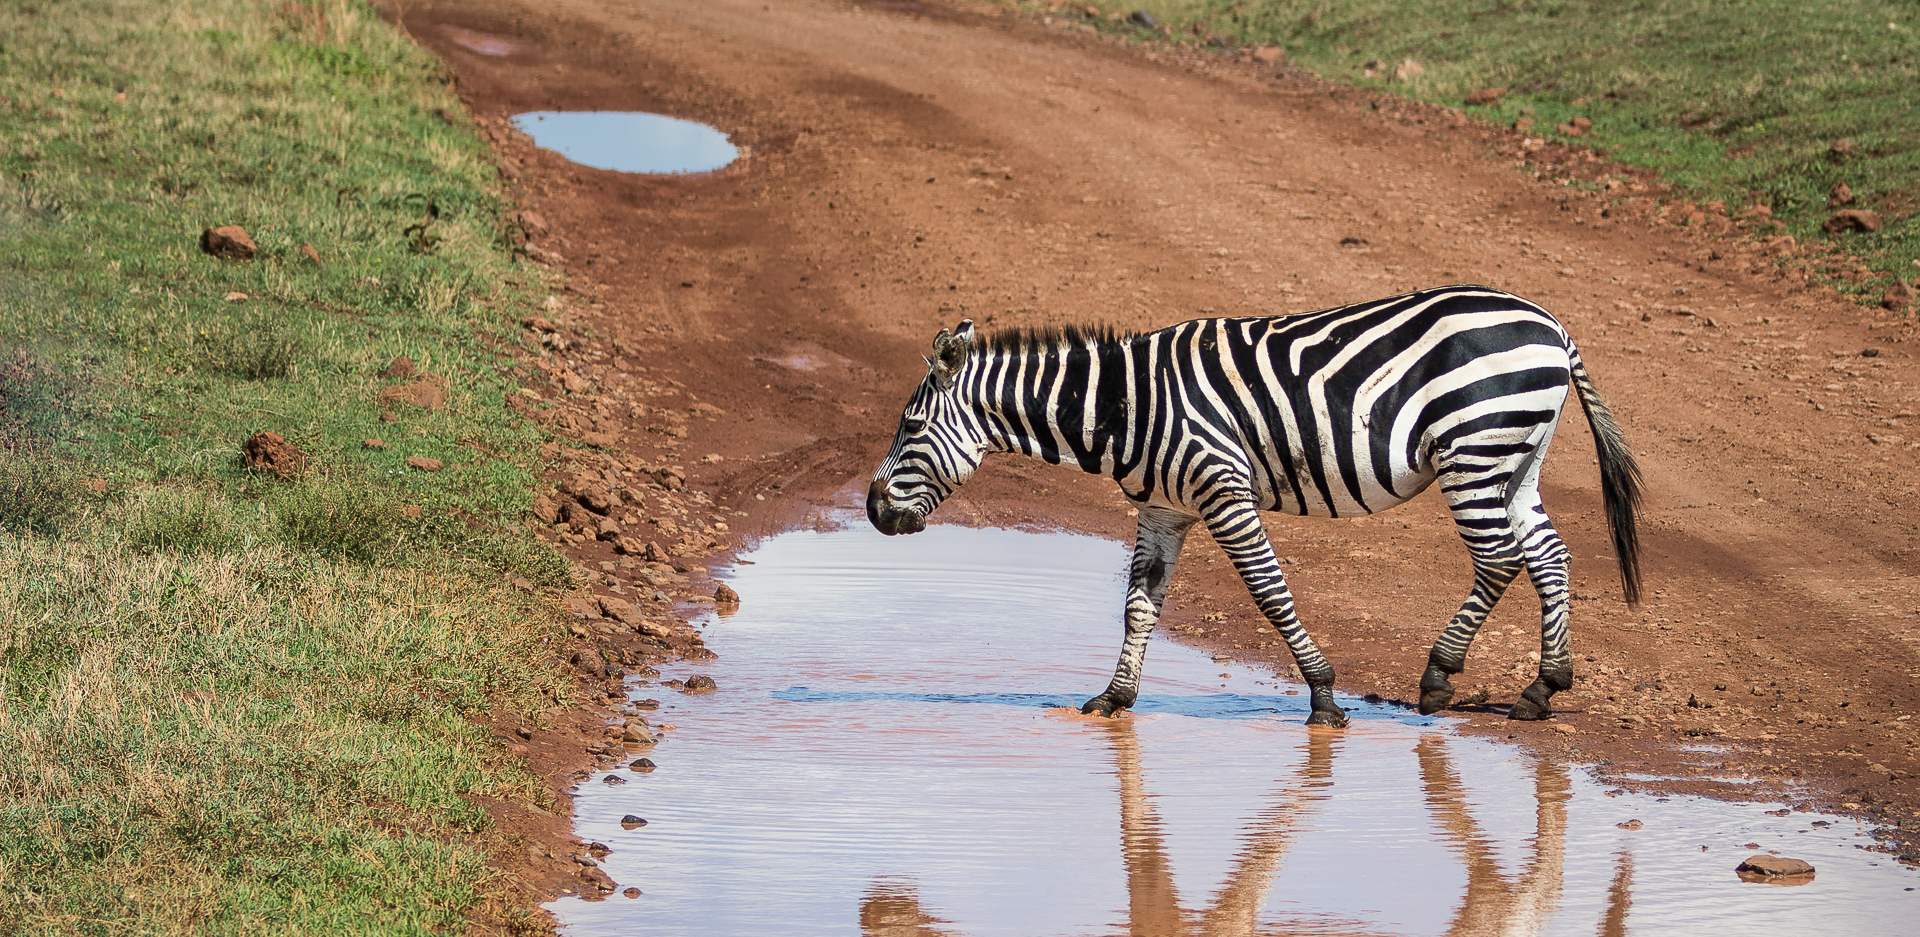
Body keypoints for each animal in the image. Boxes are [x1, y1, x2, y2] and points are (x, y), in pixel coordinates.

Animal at [867, 285, 1642, 727]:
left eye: (910, 426)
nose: (872, 510)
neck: (1124, 406)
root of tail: (1551, 324)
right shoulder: (1164, 508)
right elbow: (1139, 604)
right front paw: (1115, 698)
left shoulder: (1222, 487)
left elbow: (1270, 593)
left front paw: (1324, 696)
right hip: (1516, 458)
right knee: (1548, 554)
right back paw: (1543, 687)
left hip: (1473, 448)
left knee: (1499, 558)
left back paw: (1439, 675)